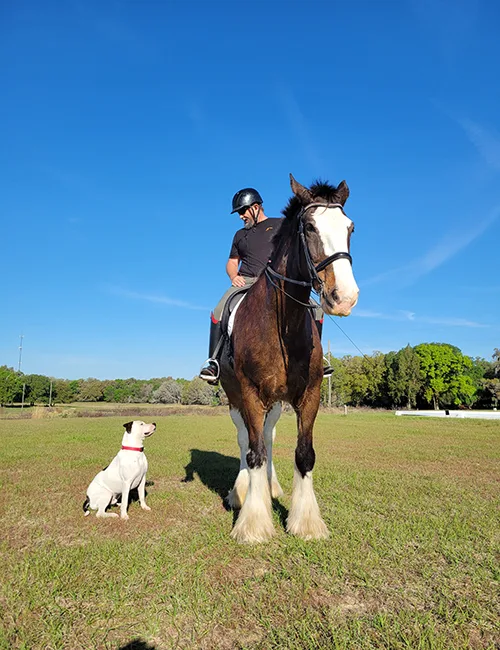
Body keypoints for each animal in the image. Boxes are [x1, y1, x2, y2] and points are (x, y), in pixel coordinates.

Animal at [221, 173, 358, 540]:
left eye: (350, 228)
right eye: (309, 227)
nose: (345, 298)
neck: (283, 326)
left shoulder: (309, 395)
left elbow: (304, 454)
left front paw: (306, 522)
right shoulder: (251, 394)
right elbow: (253, 452)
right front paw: (253, 524)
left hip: (275, 403)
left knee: (267, 438)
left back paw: (270, 488)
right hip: (236, 397)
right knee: (246, 441)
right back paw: (241, 493)